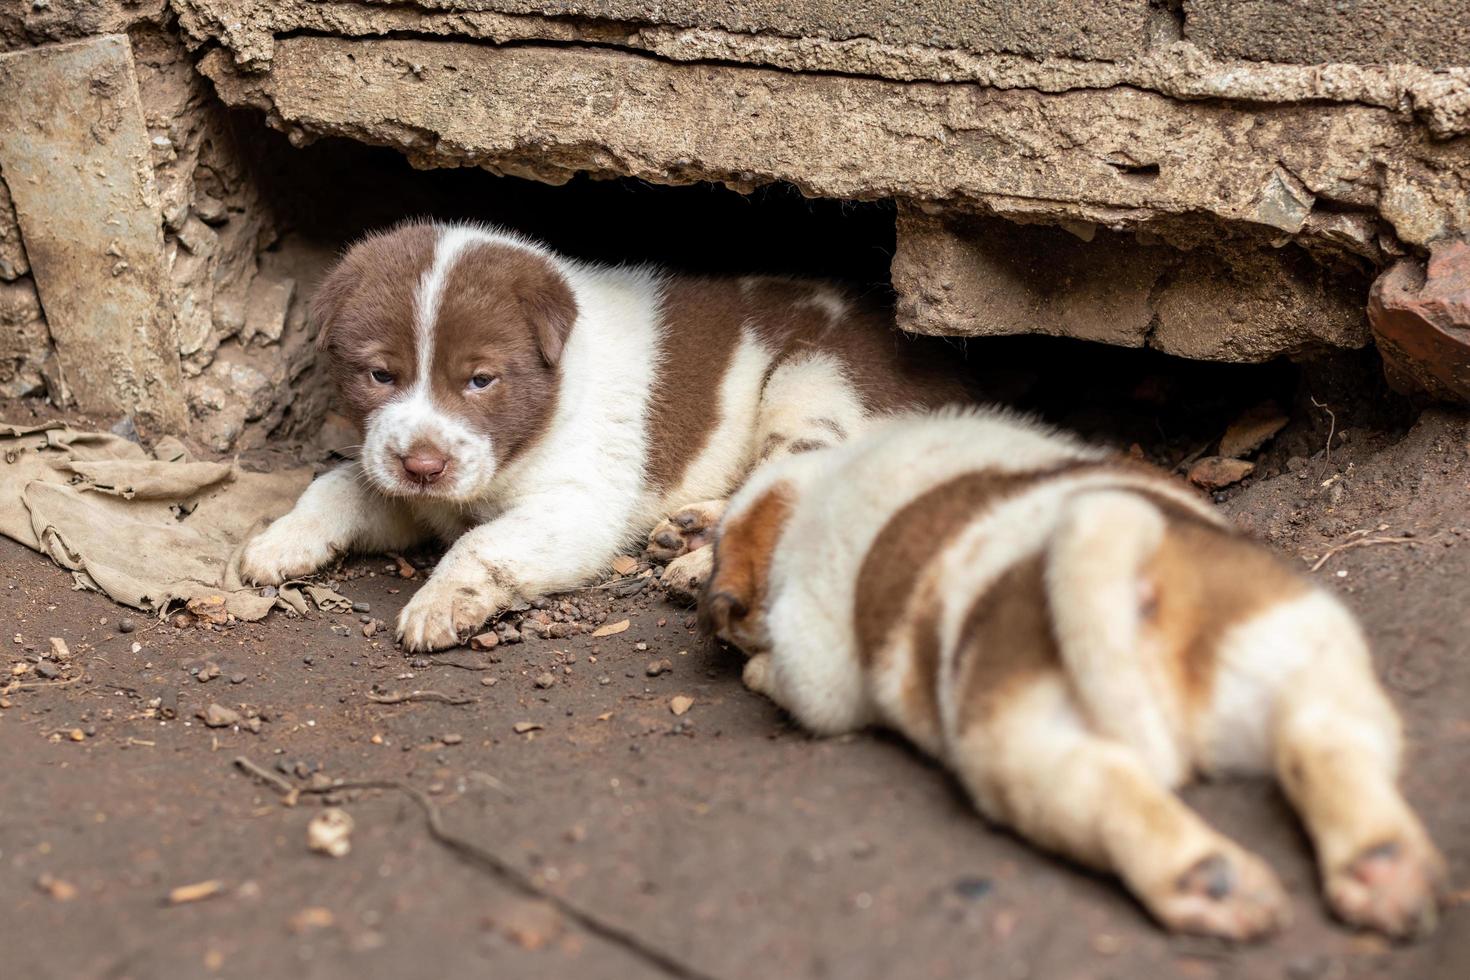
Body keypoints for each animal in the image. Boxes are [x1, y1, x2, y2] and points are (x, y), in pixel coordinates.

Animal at [238, 223, 976, 652]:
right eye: (380, 374)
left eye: (481, 380)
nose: (424, 464)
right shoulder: (405, 482)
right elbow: (340, 484)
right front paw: (279, 540)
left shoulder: (577, 504)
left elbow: (482, 546)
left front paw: (441, 603)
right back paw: (689, 533)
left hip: (816, 385)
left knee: (800, 483)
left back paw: (695, 564)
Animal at [702, 408, 1446, 940]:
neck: (820, 480)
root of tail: (1143, 575)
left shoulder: (817, 663)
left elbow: (792, 677)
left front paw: (756, 669)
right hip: (1298, 650)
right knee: (1324, 741)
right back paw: (1382, 869)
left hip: (1015, 749)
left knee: (1112, 793)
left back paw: (1210, 883)